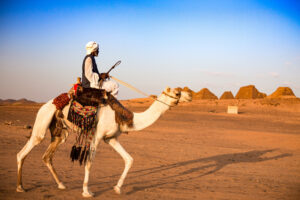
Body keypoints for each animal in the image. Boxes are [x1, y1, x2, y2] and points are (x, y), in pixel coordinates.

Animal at [16, 86, 191, 198]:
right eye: (177, 92)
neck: (124, 117)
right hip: (43, 119)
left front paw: (117, 188)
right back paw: (20, 187)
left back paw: (61, 185)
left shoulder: (111, 138)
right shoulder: (98, 136)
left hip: (59, 132)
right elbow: (89, 162)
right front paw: (87, 192)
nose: (190, 95)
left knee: (47, 156)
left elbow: (129, 159)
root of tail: (47, 104)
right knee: (24, 151)